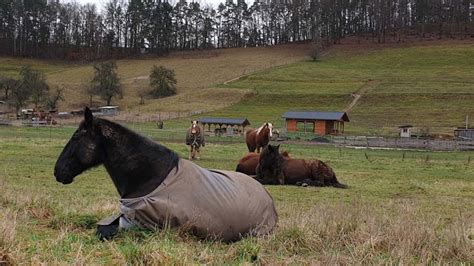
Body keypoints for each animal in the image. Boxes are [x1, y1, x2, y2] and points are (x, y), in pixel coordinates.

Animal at [54, 107, 278, 242]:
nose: (57, 171)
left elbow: (103, 230)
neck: (153, 177)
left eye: (77, 137)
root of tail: (267, 196)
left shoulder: (143, 225)